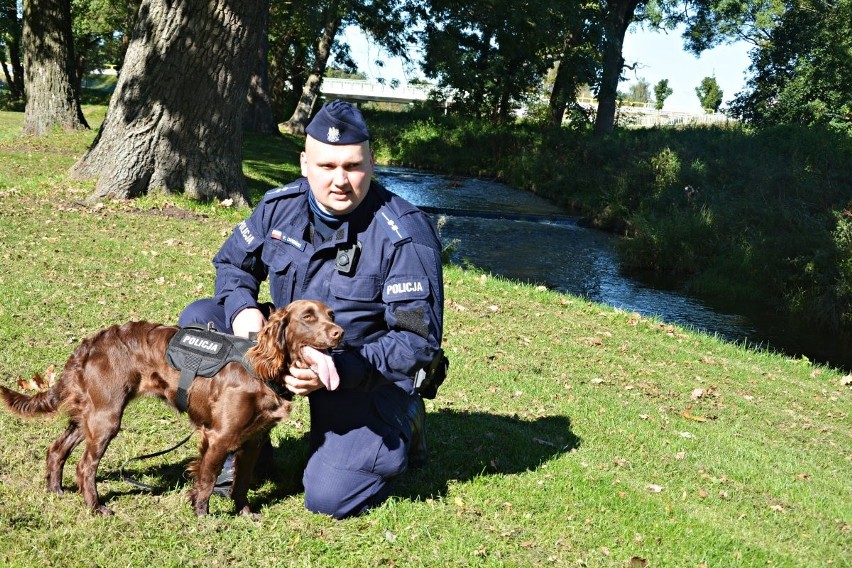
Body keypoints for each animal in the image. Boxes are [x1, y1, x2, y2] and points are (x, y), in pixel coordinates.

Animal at [4, 300, 342, 516]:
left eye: (330, 314)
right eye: (308, 317)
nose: (339, 332)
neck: (261, 370)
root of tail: (90, 343)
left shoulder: (252, 441)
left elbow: (241, 482)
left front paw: (245, 513)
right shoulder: (220, 436)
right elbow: (207, 480)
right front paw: (203, 517)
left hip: (87, 414)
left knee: (56, 448)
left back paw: (55, 489)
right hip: (106, 416)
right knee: (85, 465)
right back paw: (96, 507)